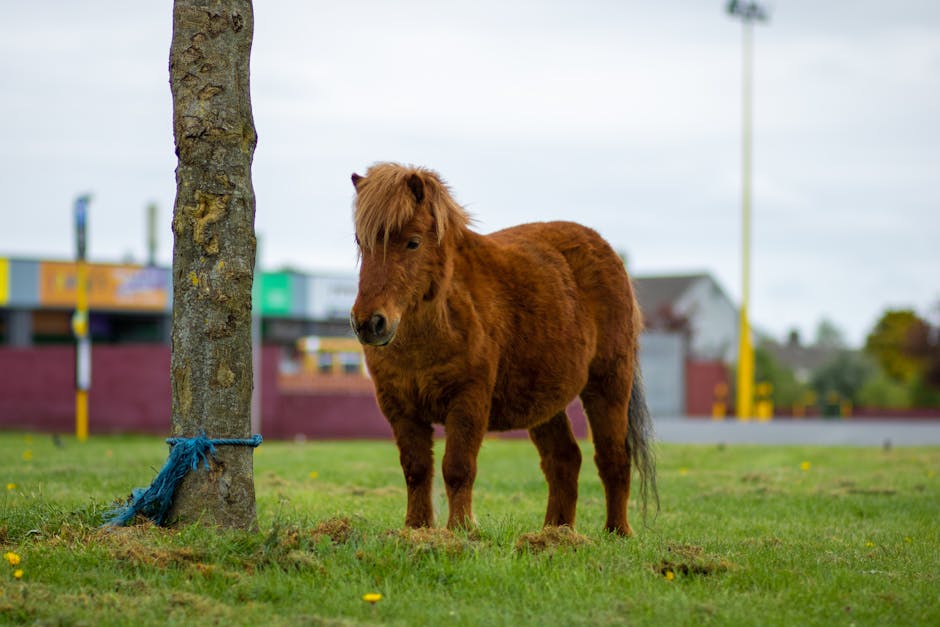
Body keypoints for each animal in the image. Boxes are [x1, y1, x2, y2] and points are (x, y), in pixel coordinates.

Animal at [348, 162, 656, 536]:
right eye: (360, 241)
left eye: (413, 242)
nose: (369, 323)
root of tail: (603, 248)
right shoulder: (401, 409)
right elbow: (416, 470)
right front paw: (416, 531)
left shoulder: (468, 401)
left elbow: (458, 468)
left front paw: (461, 530)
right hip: (545, 402)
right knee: (564, 460)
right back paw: (555, 534)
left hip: (609, 384)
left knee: (613, 458)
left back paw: (617, 533)